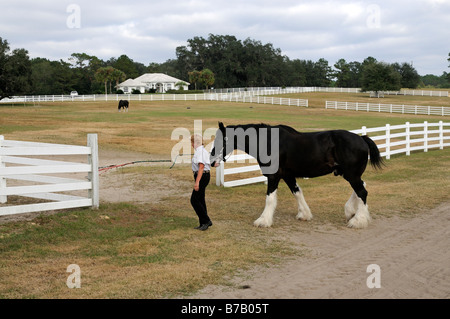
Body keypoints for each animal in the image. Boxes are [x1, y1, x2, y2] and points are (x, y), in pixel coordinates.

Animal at [211, 123, 384, 230]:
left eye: (221, 140)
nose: (212, 161)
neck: (269, 141)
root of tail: (361, 138)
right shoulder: (288, 175)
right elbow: (297, 192)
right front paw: (304, 214)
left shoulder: (273, 176)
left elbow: (270, 199)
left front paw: (263, 221)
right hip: (349, 174)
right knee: (362, 187)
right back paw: (350, 212)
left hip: (351, 174)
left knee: (362, 192)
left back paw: (358, 220)